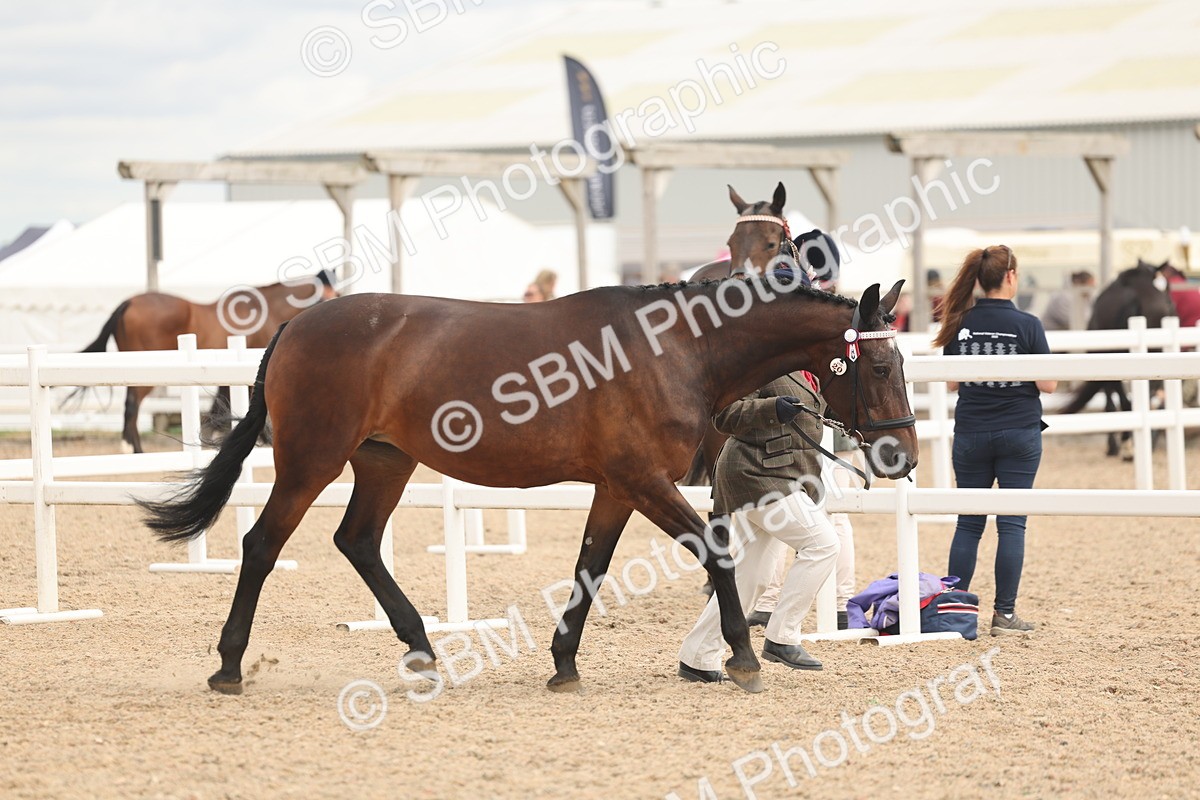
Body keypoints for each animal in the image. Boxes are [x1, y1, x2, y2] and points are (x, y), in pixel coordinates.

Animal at [73, 272, 337, 452]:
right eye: (328, 296)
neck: (268, 311)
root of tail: (129, 302)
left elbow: (220, 405)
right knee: (132, 407)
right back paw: (135, 450)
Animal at [138, 276, 917, 696]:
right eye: (881, 367)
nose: (900, 455)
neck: (675, 349)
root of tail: (299, 321)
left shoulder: (617, 488)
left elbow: (589, 568)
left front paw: (563, 664)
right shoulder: (643, 481)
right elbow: (715, 553)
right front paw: (745, 657)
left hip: (385, 461)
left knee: (357, 541)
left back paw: (422, 649)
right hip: (311, 459)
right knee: (263, 544)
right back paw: (229, 666)